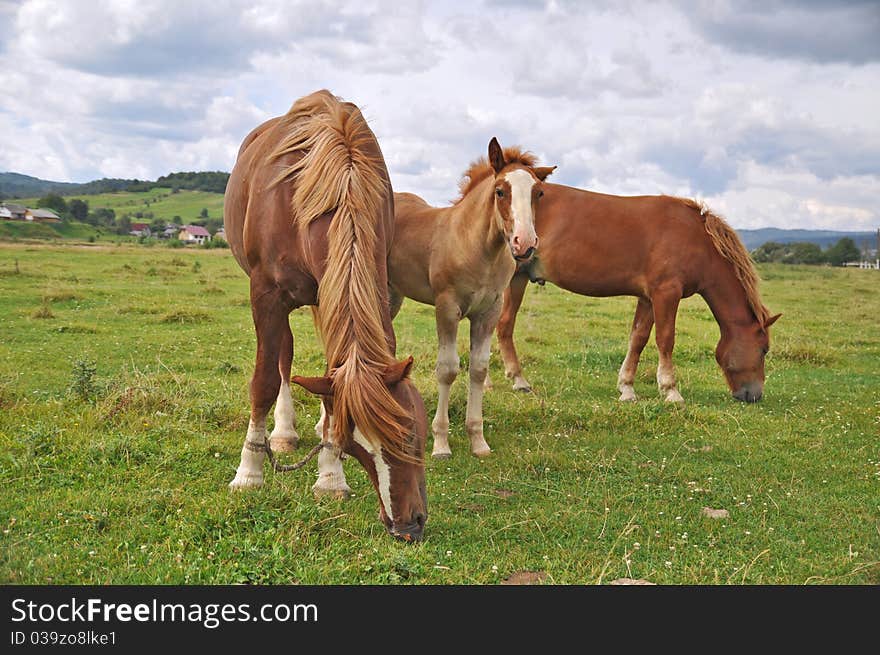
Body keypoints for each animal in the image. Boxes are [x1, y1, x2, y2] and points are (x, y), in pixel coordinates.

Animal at [220, 89, 426, 540]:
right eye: (358, 447)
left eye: (412, 432)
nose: (408, 525)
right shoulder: (266, 296)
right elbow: (264, 381)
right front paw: (249, 472)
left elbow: (336, 388)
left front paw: (330, 475)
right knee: (284, 360)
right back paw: (282, 433)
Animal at [388, 139, 552, 458]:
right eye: (500, 191)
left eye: (538, 193)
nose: (524, 244)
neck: (478, 248)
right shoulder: (447, 307)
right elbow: (448, 369)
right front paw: (441, 443)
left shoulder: (489, 312)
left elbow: (478, 369)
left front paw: (478, 440)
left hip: (393, 296)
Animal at [498, 184, 780, 408]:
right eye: (764, 350)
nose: (754, 395)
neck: (696, 241)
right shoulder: (666, 293)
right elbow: (665, 340)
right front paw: (670, 391)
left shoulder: (648, 298)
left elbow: (638, 339)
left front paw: (627, 388)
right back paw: (515, 381)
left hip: (517, 279)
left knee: (502, 325)